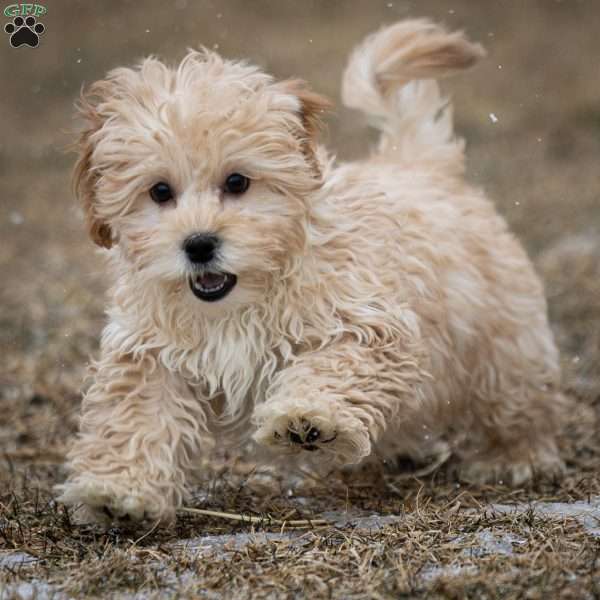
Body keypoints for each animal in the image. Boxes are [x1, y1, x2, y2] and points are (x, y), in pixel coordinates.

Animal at [57, 21, 568, 524]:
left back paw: (515, 457)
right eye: (160, 191)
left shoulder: (371, 326)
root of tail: (421, 163)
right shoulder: (150, 351)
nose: (199, 244)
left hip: (505, 344)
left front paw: (308, 418)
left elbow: (336, 364)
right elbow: (137, 416)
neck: (243, 300)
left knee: (516, 400)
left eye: (237, 182)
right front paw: (118, 491)